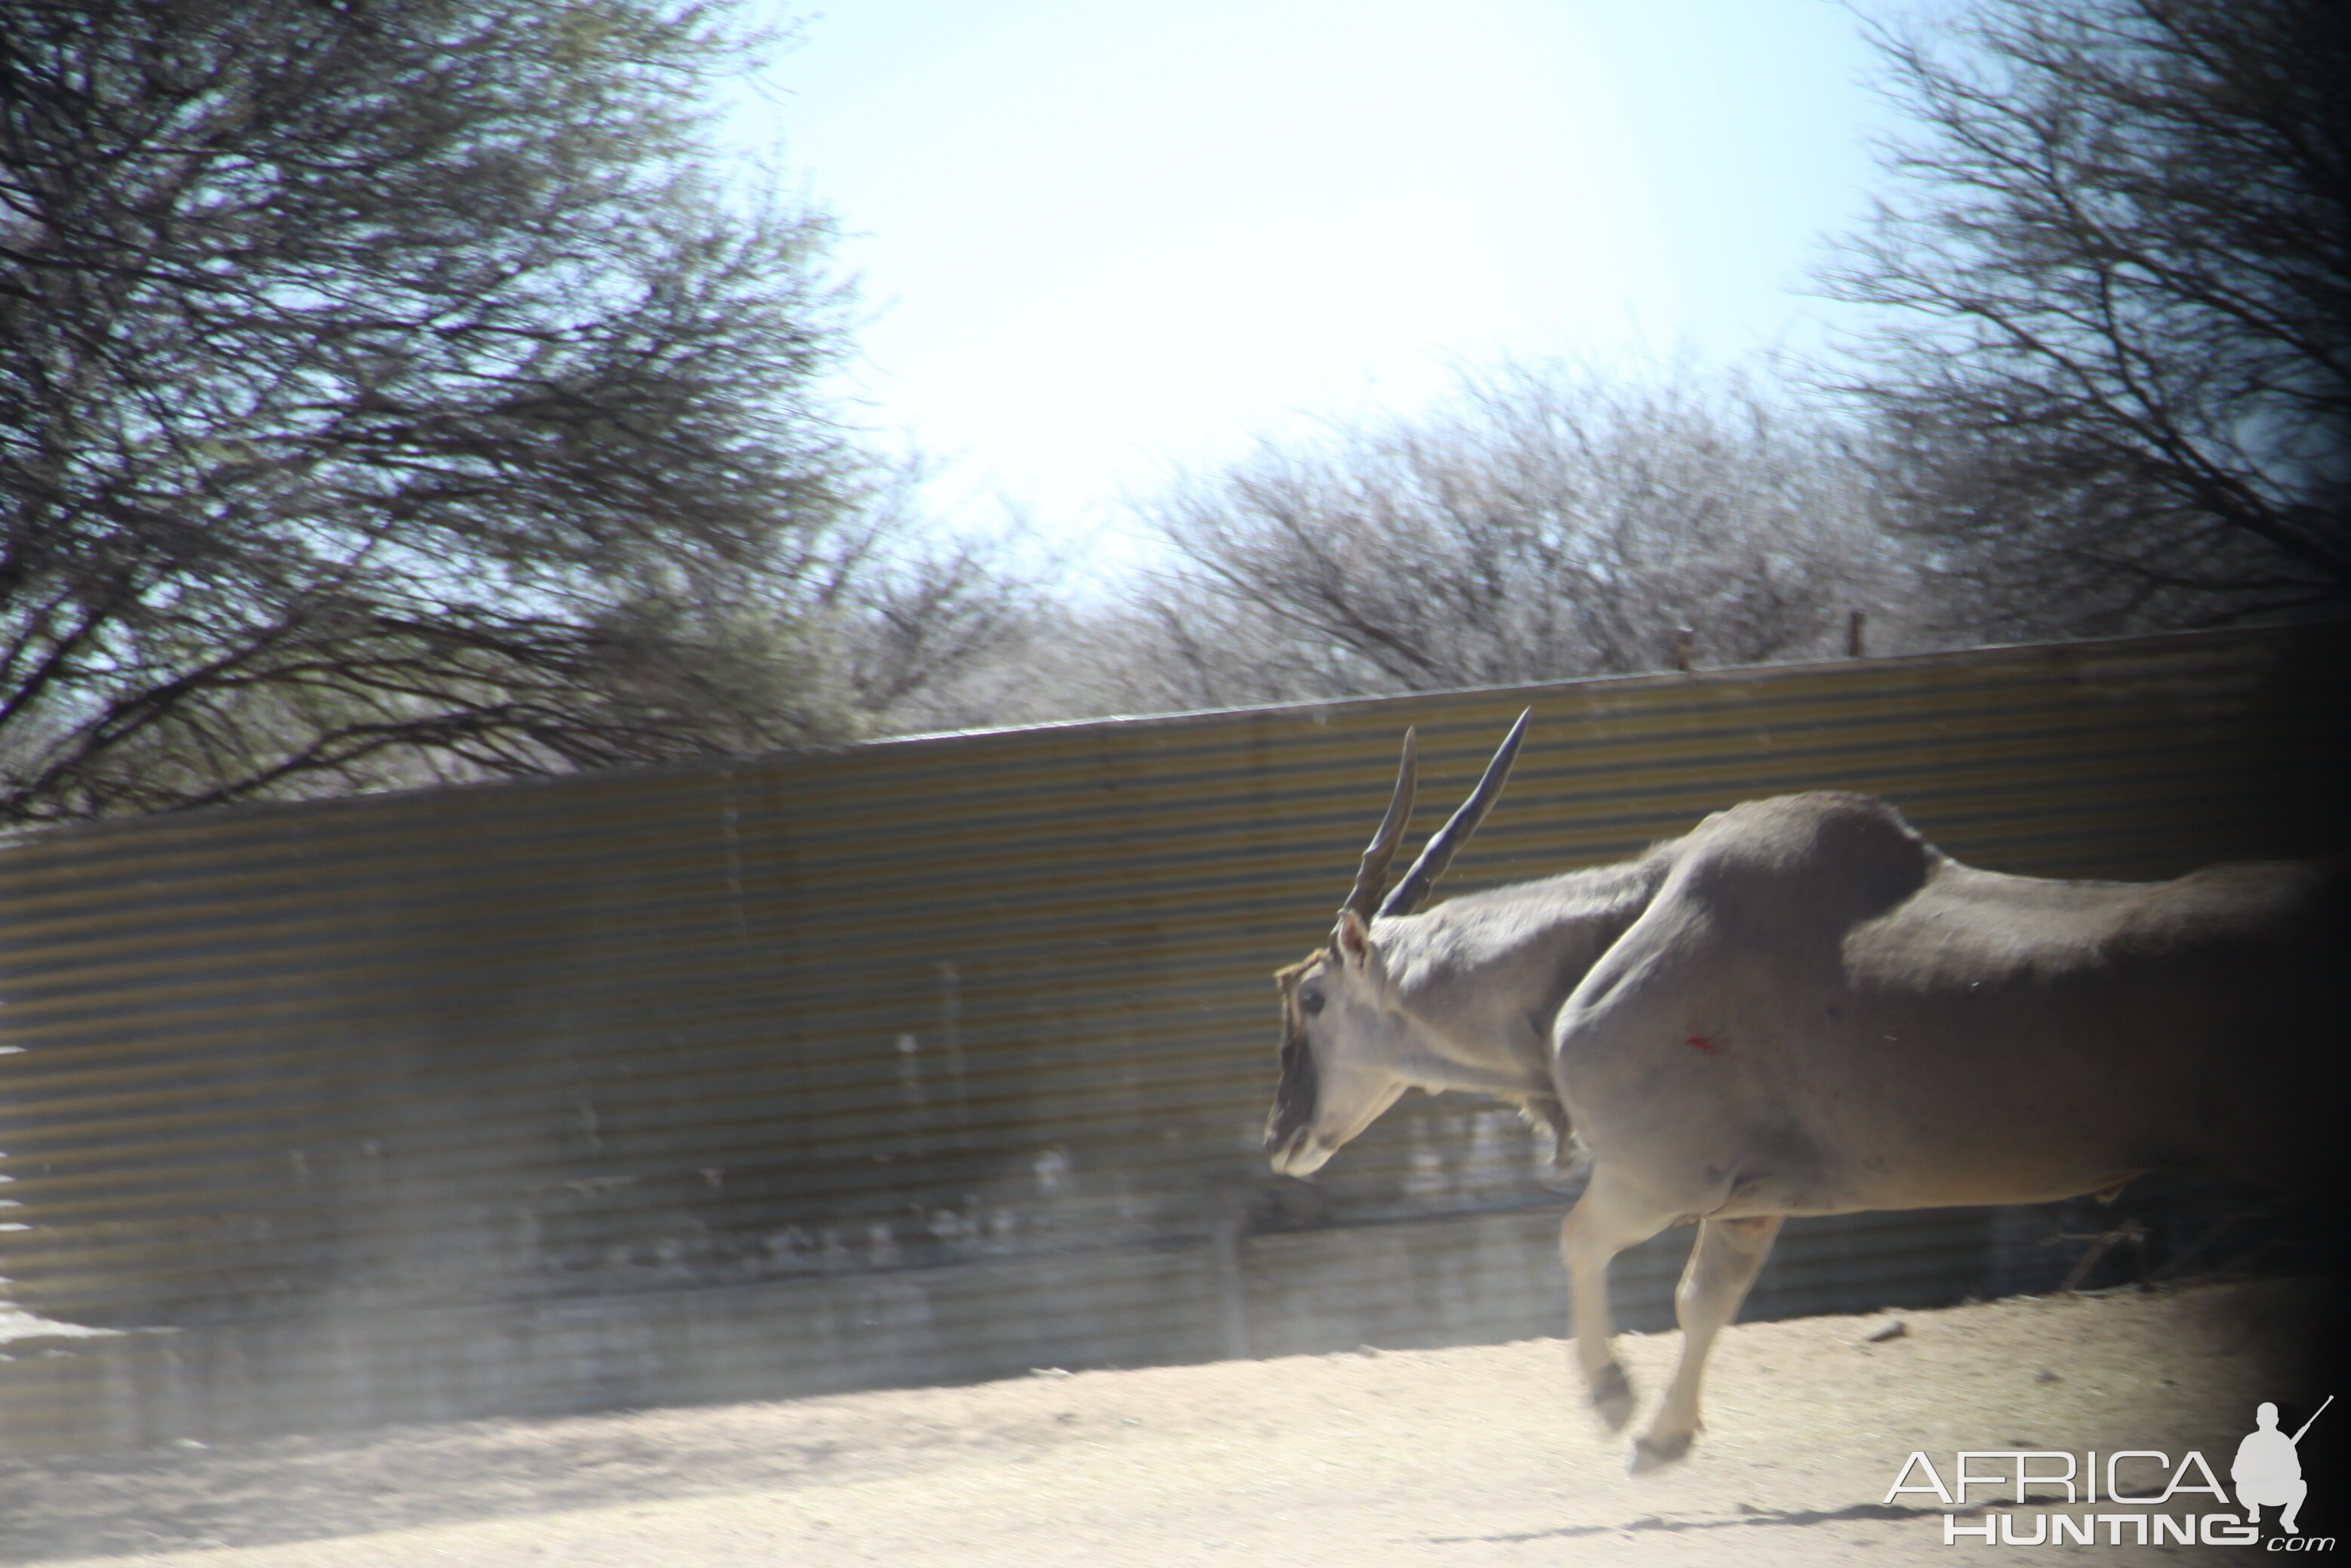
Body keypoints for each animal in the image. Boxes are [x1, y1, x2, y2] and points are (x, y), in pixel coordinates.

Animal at [1260, 710, 2341, 1476]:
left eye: (1310, 997)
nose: (1279, 1137)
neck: (1622, 929)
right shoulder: (1750, 1204)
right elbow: (1705, 1300)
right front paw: (1662, 1439)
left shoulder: (1653, 1184)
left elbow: (1580, 1245)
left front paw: (1614, 1400)